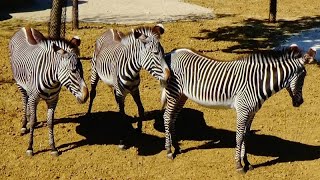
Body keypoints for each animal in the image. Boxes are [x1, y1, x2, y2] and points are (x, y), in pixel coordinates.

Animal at [9, 26, 89, 156]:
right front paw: (30, 148)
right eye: (72, 71)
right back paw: (24, 125)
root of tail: (26, 27)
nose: (86, 95)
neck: (52, 79)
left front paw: (53, 148)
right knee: (24, 100)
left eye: (82, 71)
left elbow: (50, 122)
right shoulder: (34, 98)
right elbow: (32, 122)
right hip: (20, 84)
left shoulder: (53, 100)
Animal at [161, 44, 312, 172]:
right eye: (303, 76)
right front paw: (238, 165)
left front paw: (247, 162)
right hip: (174, 92)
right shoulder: (243, 110)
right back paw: (169, 151)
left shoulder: (252, 112)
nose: (300, 102)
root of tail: (172, 52)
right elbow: (239, 137)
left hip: (181, 95)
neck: (258, 82)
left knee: (172, 118)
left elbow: (246, 136)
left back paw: (176, 148)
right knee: (167, 117)